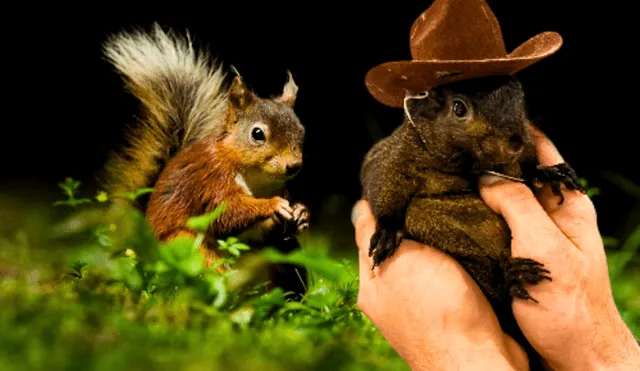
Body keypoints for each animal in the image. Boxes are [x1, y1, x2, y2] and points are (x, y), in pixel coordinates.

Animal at [100, 24, 310, 300]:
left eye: (301, 130)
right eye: (257, 134)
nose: (293, 166)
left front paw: (301, 212)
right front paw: (272, 205)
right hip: (189, 248)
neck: (257, 176)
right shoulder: (212, 178)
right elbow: (227, 212)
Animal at [358, 75, 588, 370]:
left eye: (519, 97)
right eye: (459, 108)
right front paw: (387, 231)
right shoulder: (393, 156)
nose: (515, 141)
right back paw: (511, 278)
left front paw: (549, 172)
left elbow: (528, 167)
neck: (466, 164)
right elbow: (381, 183)